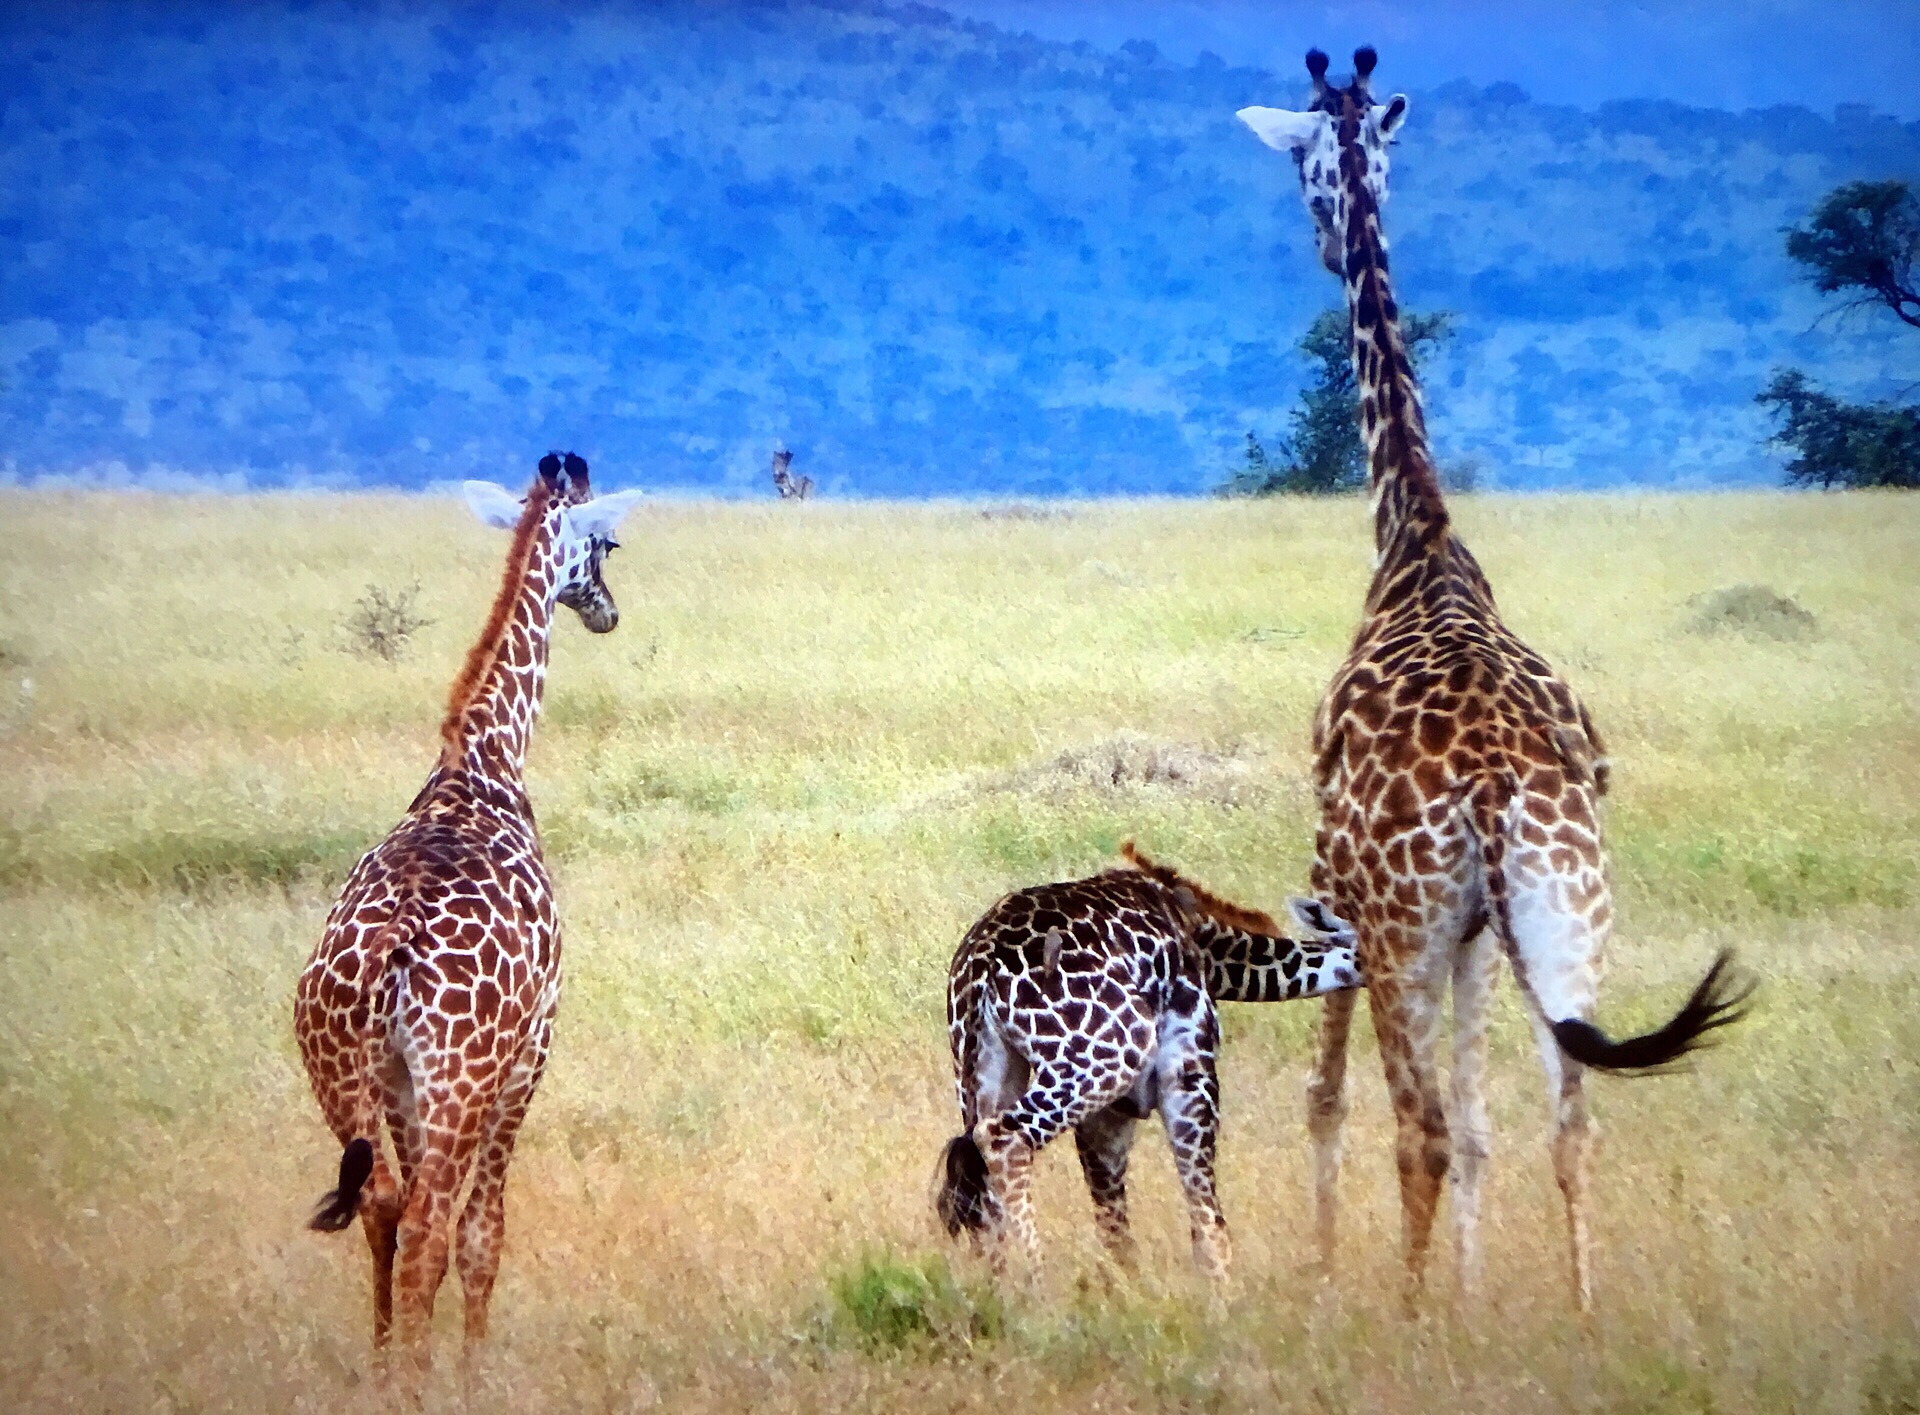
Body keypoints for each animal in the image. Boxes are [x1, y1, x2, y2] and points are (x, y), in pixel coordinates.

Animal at [288, 449, 641, 1367]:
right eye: (607, 544)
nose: (608, 613)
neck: (482, 760)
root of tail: (388, 957)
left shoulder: (403, 1083)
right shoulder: (531, 1048)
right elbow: (486, 1233)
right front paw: (477, 1367)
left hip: (347, 1072)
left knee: (382, 1202)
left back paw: (385, 1368)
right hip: (458, 1076)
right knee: (429, 1225)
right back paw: (420, 1375)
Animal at [933, 844, 1359, 1282]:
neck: (1208, 945)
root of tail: (983, 964)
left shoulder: (1110, 1116)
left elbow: (1117, 1232)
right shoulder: (1189, 1073)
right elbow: (1209, 1227)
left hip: (982, 1073)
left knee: (979, 1178)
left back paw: (1001, 1289)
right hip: (1105, 1060)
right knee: (1002, 1140)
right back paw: (1038, 1283)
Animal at [1236, 49, 1751, 1305]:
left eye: (1305, 172)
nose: (1326, 246)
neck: (1417, 541)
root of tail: (1493, 785)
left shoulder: (1335, 879)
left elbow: (1331, 1098)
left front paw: (1331, 1277)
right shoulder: (1476, 926)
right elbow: (1485, 1126)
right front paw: (1472, 1296)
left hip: (1406, 924)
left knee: (1415, 1126)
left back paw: (1410, 1319)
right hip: (1566, 911)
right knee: (1571, 1121)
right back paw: (1576, 1313)